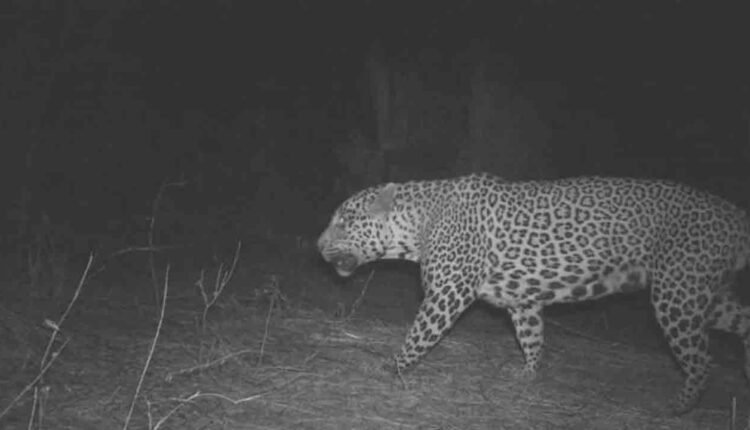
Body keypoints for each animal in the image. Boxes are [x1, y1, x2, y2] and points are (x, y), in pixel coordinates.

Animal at [317, 172, 750, 414]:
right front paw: (527, 374)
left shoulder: (447, 292)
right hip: (702, 294)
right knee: (740, 322)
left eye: (344, 221)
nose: (318, 245)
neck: (416, 225)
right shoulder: (521, 299)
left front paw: (390, 367)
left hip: (677, 293)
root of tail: (733, 214)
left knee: (702, 361)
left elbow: (418, 334)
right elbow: (532, 336)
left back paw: (677, 408)